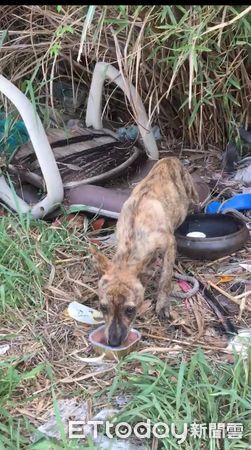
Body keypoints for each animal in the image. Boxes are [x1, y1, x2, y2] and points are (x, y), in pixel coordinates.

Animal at [91, 156, 199, 346]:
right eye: (103, 307)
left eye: (130, 310)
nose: (114, 343)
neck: (131, 241)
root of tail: (169, 158)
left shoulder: (170, 244)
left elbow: (165, 278)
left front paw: (162, 304)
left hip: (190, 191)